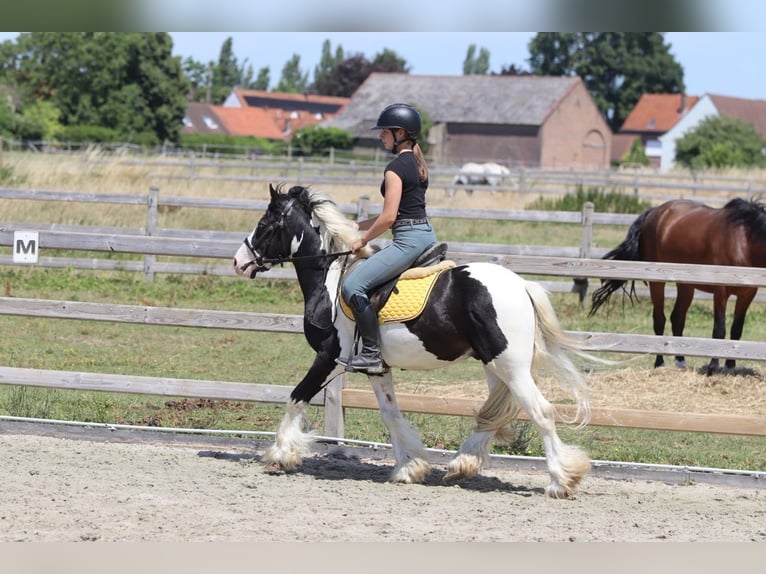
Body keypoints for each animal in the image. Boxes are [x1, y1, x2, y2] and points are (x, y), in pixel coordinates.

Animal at [233, 183, 594, 498]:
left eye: (264, 224)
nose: (238, 262)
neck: (331, 279)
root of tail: (521, 285)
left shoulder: (328, 357)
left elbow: (296, 397)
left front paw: (280, 454)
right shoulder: (377, 368)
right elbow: (391, 415)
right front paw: (409, 467)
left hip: (511, 366)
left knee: (540, 411)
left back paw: (560, 481)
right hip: (495, 365)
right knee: (496, 412)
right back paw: (463, 463)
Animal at [589, 197, 766, 375]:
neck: (743, 241)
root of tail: (654, 212)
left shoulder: (747, 294)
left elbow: (736, 330)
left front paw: (730, 367)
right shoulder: (720, 291)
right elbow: (719, 329)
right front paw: (713, 368)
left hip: (686, 285)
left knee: (677, 319)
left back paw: (680, 361)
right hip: (657, 282)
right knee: (660, 320)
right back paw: (660, 363)